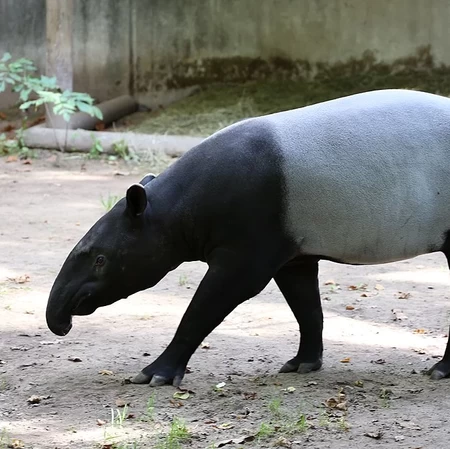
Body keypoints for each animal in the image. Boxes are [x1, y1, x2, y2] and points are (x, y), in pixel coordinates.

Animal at [46, 89, 450, 386]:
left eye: (100, 259)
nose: (60, 321)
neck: (180, 207)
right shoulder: (294, 250)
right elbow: (306, 307)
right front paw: (303, 363)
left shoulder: (249, 245)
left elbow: (204, 309)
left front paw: (154, 374)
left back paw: (440, 370)